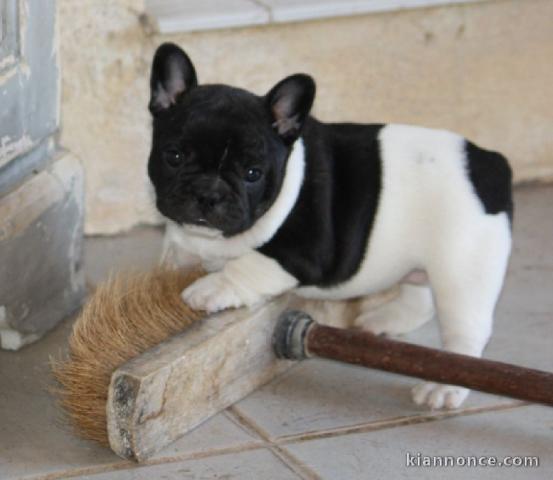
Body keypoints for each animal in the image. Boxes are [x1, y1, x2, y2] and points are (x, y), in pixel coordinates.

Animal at [148, 44, 512, 408]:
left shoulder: (303, 252)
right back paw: (387, 319)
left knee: (466, 330)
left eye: (253, 173)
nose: (208, 194)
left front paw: (213, 286)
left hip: (462, 267)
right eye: (174, 156)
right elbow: (175, 253)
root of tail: (488, 161)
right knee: (420, 295)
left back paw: (444, 386)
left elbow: (249, 264)